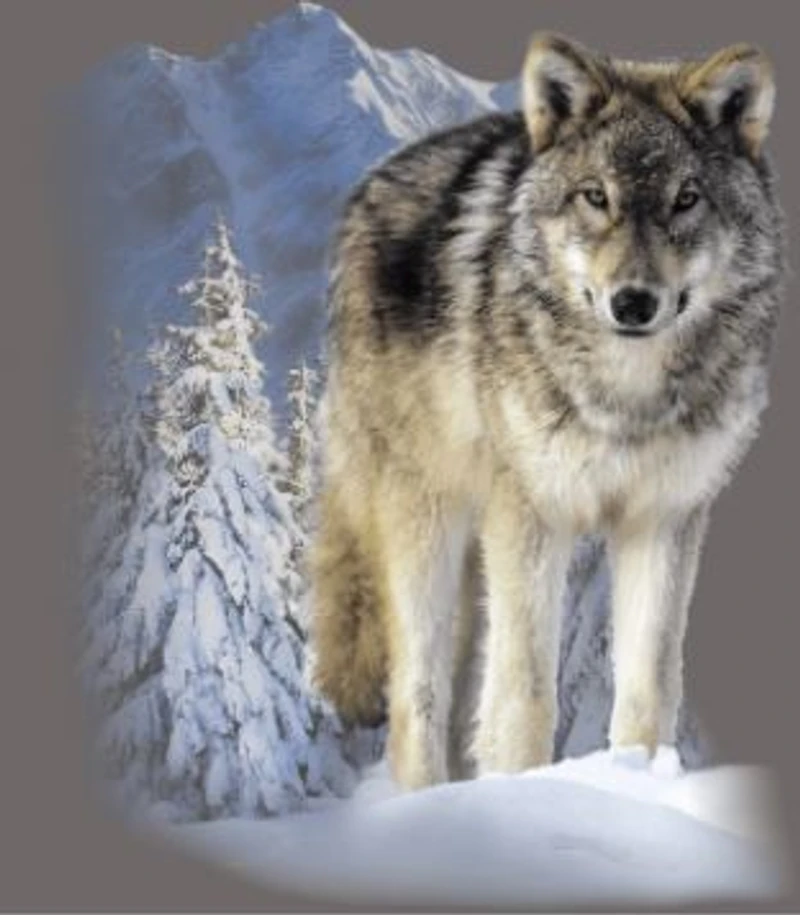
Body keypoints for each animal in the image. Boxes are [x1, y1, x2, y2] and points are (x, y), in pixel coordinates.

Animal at [310, 32, 785, 790]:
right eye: (597, 196)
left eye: (686, 199)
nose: (633, 302)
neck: (626, 395)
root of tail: (369, 188)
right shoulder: (534, 513)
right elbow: (527, 690)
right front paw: (523, 789)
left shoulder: (663, 519)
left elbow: (648, 688)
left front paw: (637, 781)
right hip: (428, 521)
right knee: (416, 697)